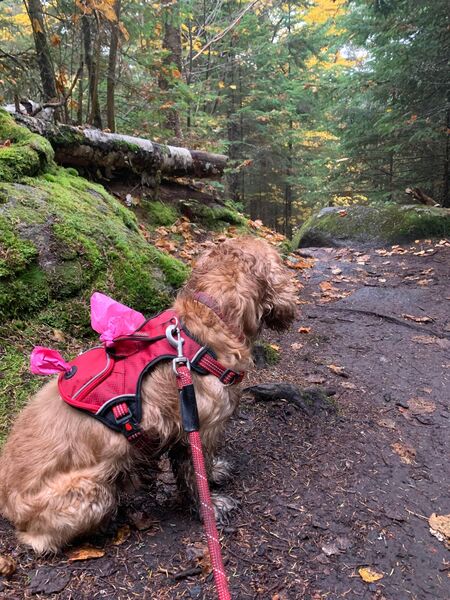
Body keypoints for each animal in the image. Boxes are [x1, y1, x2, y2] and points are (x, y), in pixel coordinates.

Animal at [0, 238, 298, 552]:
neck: (212, 315)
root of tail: (7, 507)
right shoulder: (198, 428)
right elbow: (195, 473)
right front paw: (209, 505)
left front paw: (215, 472)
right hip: (91, 492)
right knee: (41, 540)